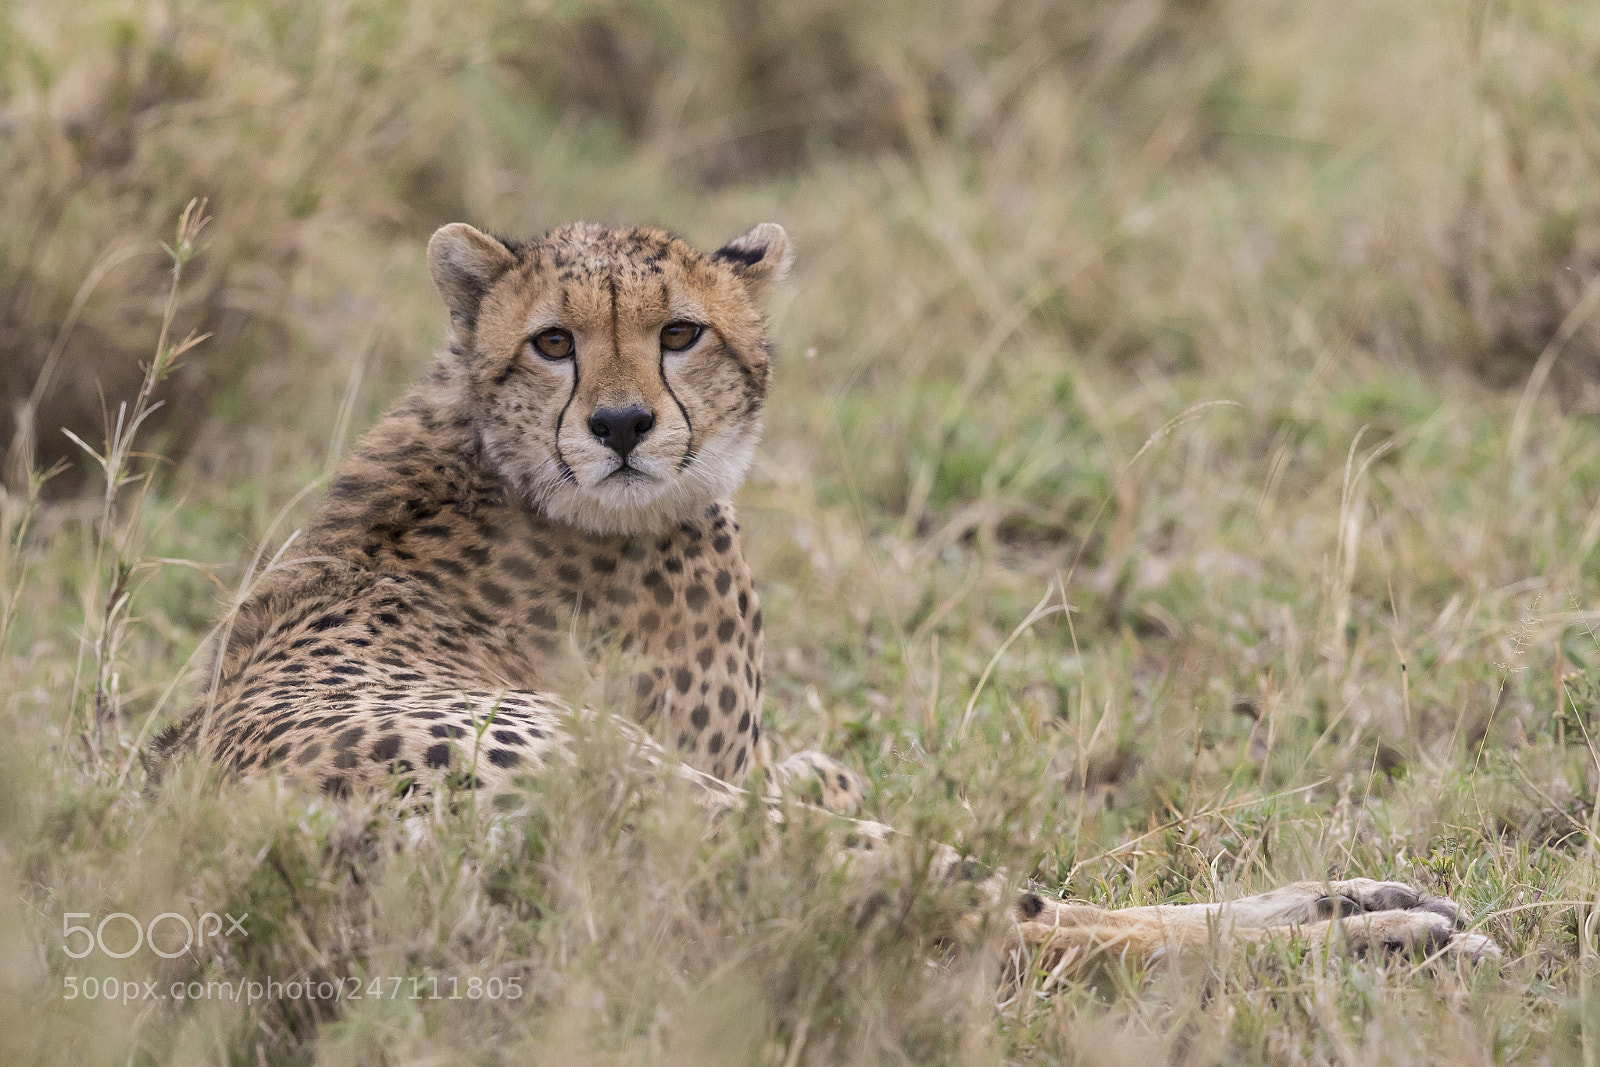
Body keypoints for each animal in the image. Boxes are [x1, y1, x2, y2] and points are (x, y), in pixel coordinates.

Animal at [149, 219, 1499, 978]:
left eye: (679, 332)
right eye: (552, 342)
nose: (622, 425)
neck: (492, 449)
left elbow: (823, 769)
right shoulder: (725, 773)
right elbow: (838, 784)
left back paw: (1371, 902)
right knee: (1002, 921)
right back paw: (1387, 933)